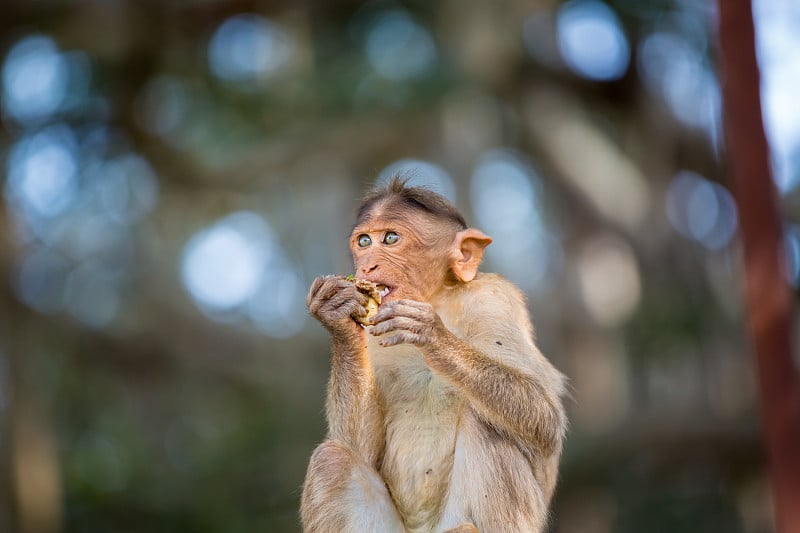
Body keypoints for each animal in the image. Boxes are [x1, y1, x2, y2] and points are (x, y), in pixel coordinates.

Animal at [302, 178, 568, 532]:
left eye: (390, 238)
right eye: (364, 241)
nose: (367, 264)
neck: (436, 297)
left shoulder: (494, 300)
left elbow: (546, 420)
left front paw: (429, 333)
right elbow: (361, 447)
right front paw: (336, 313)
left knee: (489, 426)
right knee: (332, 459)